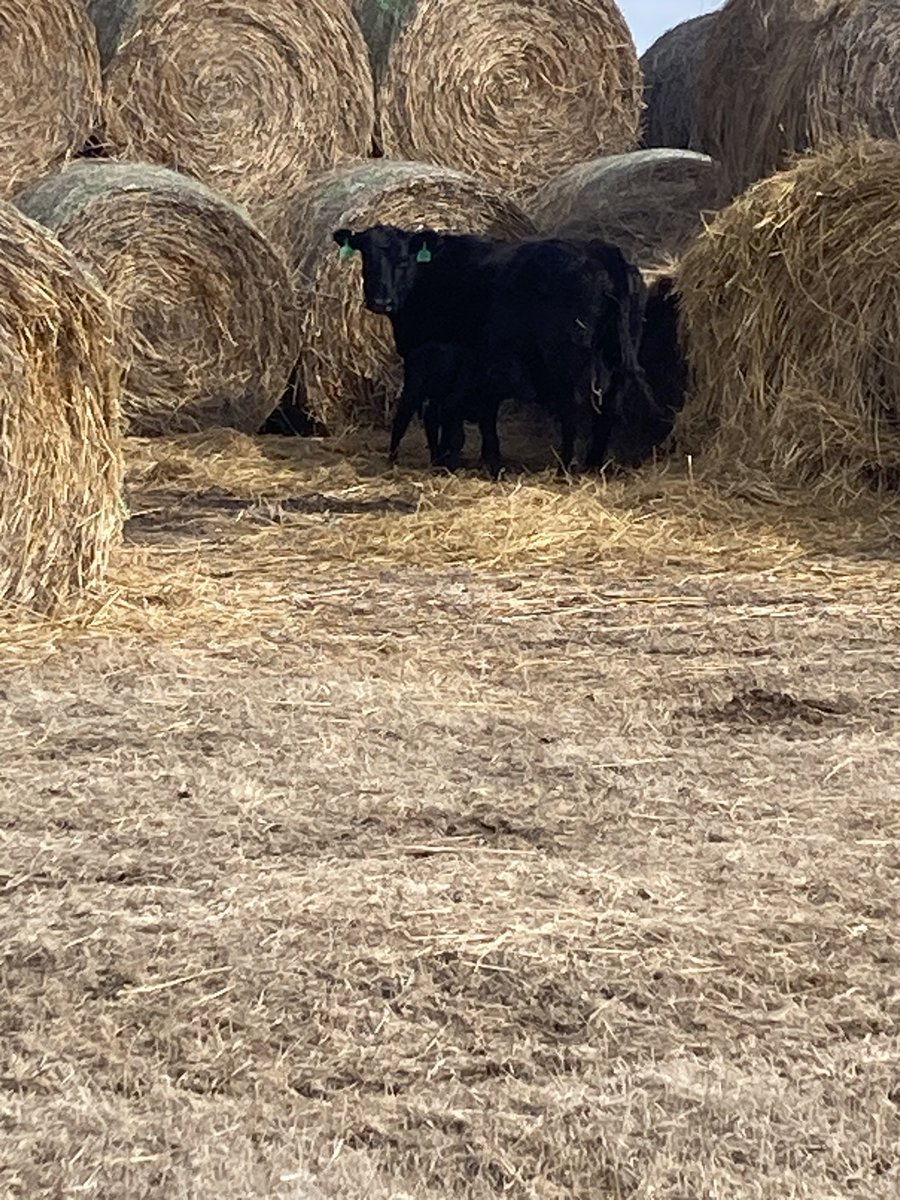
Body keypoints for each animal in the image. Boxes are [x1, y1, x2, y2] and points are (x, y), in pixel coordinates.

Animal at [332, 224, 656, 477]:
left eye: (402, 259)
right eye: (367, 258)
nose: (381, 301)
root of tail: (601, 251)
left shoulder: (435, 359)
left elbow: (441, 411)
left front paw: (446, 457)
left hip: (567, 361)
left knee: (574, 407)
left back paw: (566, 467)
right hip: (616, 362)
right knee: (609, 410)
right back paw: (592, 466)